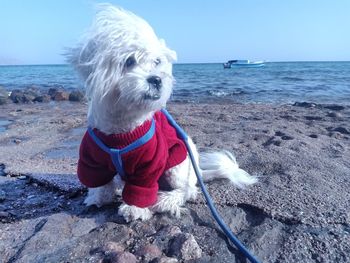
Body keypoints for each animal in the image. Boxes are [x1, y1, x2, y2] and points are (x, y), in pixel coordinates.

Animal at [67, 4, 258, 223]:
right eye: (129, 61)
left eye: (157, 61)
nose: (157, 79)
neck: (121, 131)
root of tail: (198, 172)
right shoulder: (92, 161)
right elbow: (99, 182)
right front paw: (98, 197)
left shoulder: (150, 164)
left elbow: (141, 188)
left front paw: (135, 208)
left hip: (176, 166)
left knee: (187, 190)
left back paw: (164, 200)